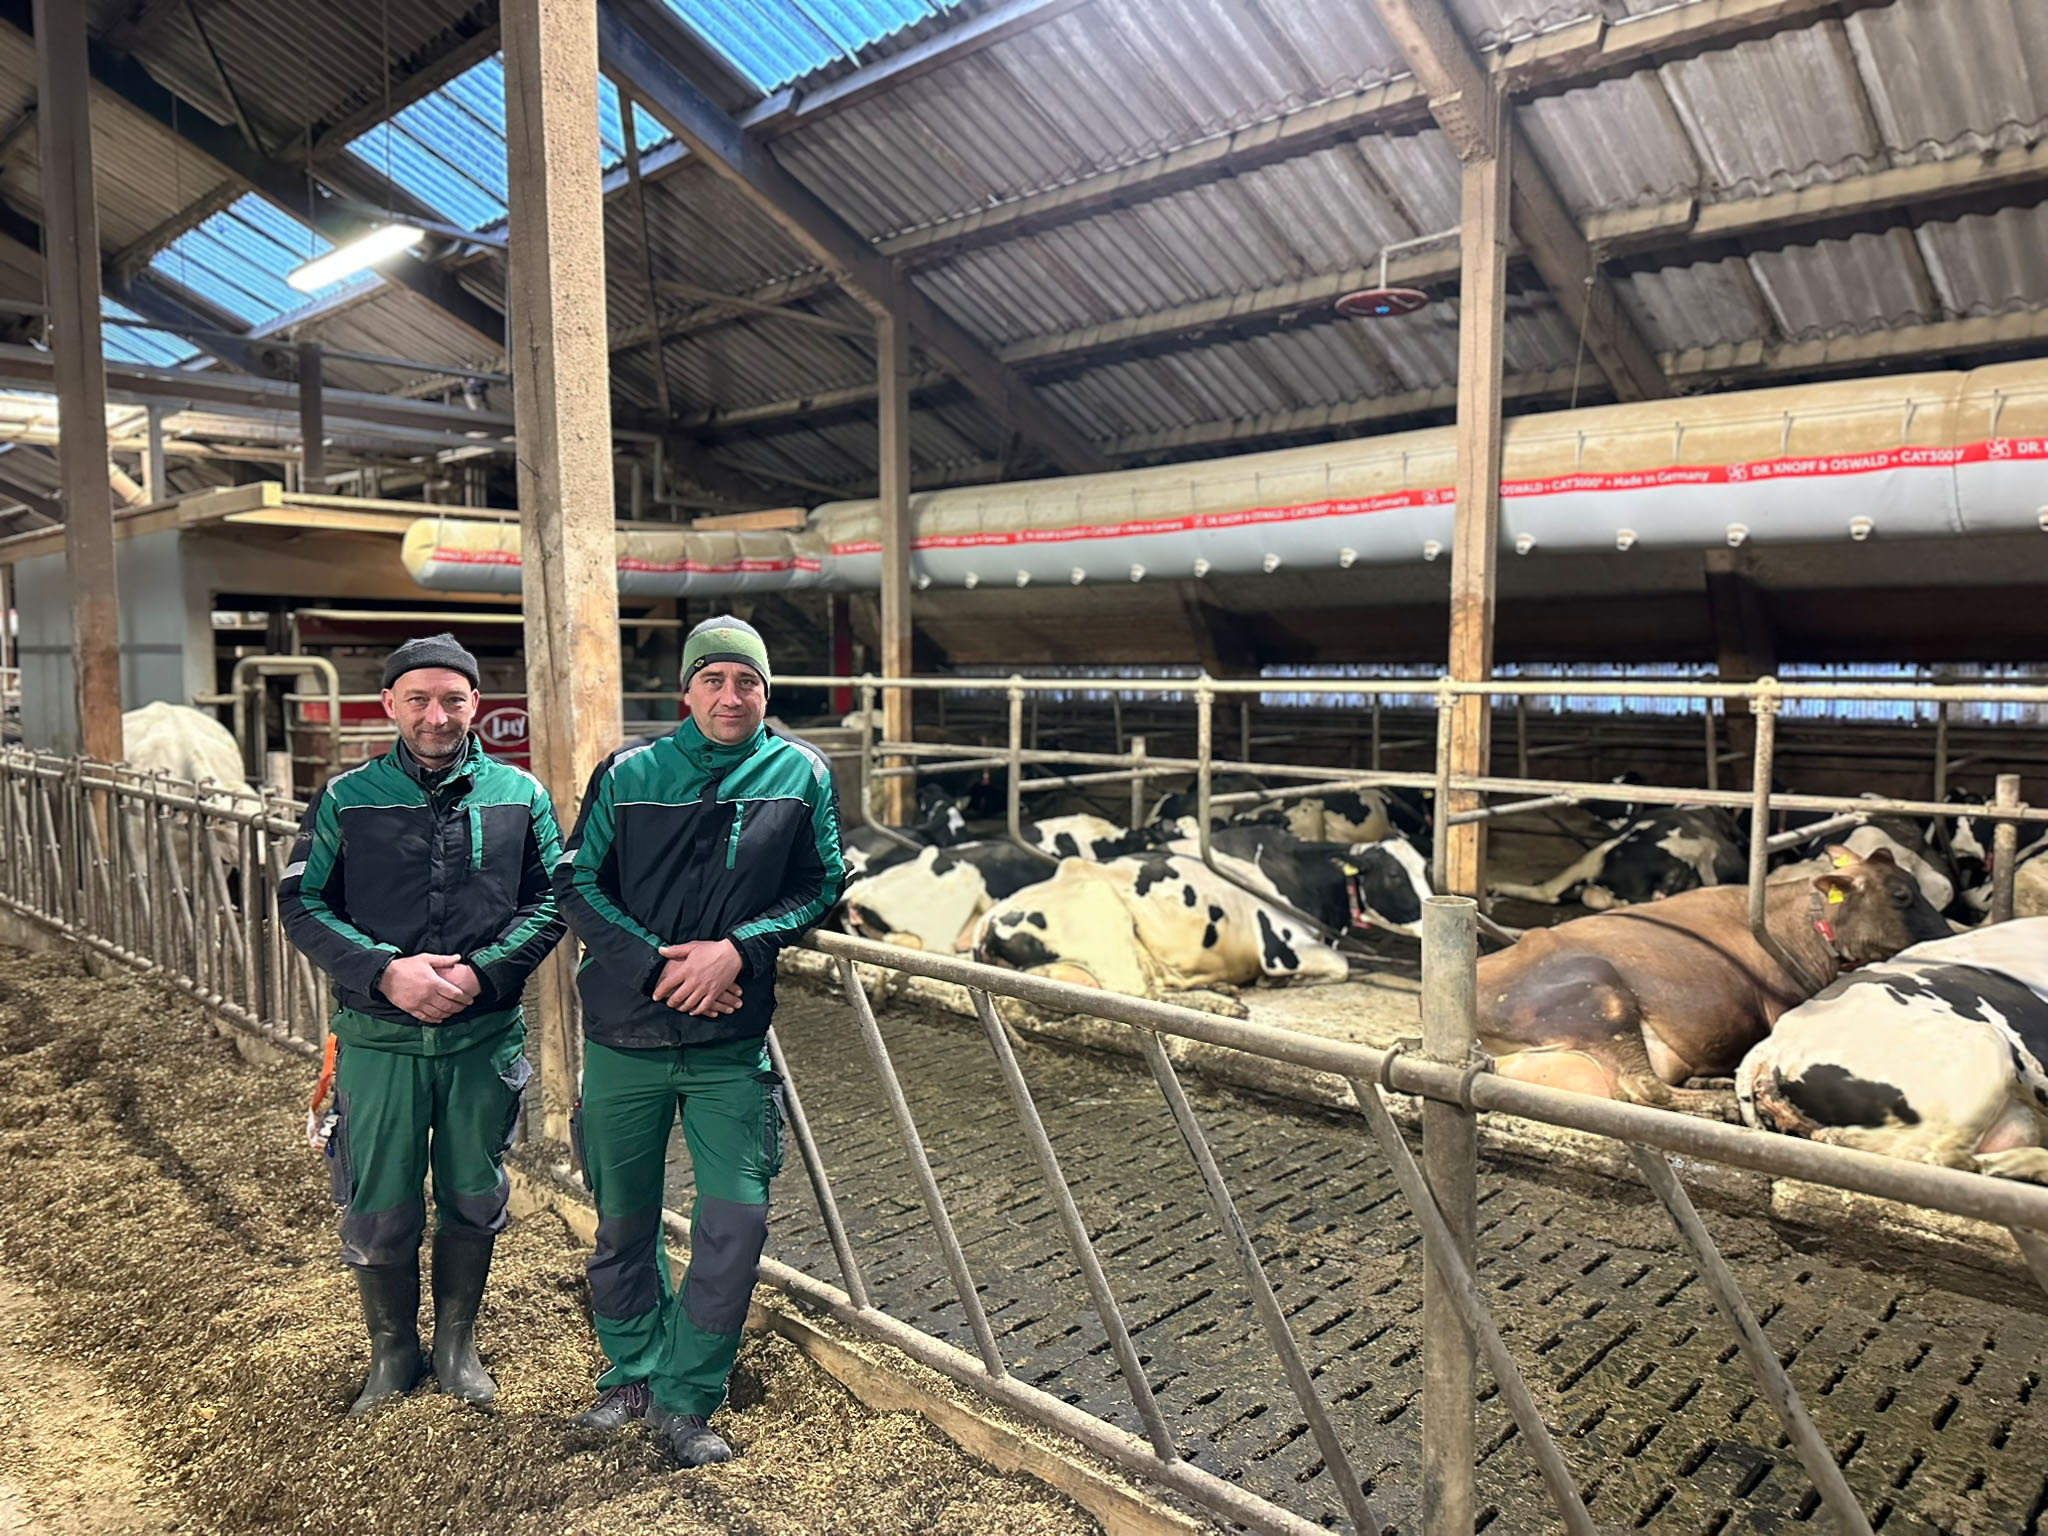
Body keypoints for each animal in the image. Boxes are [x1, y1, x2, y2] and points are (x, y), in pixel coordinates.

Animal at [1482, 847, 1941, 1114]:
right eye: (1901, 895)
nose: (1945, 932)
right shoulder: (1779, 1006)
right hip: (1601, 996)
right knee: (1644, 1088)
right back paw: (1719, 1100)